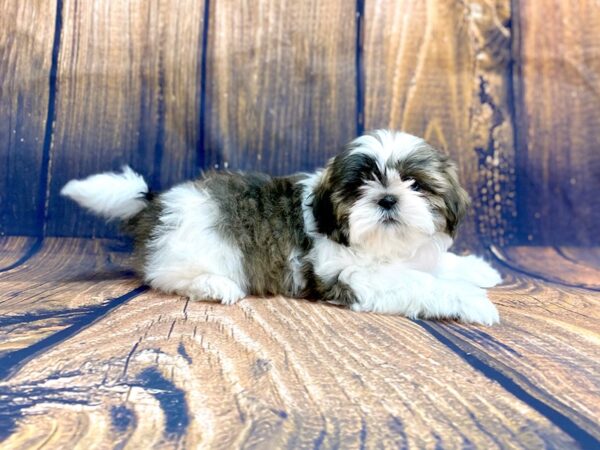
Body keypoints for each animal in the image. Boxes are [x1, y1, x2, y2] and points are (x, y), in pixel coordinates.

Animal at [62, 129, 502, 324]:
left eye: (415, 184)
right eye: (359, 187)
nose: (387, 198)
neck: (381, 245)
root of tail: (158, 203)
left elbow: (433, 267)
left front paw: (478, 270)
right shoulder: (350, 276)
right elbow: (422, 283)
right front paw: (473, 301)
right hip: (197, 248)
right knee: (163, 276)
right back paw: (215, 286)